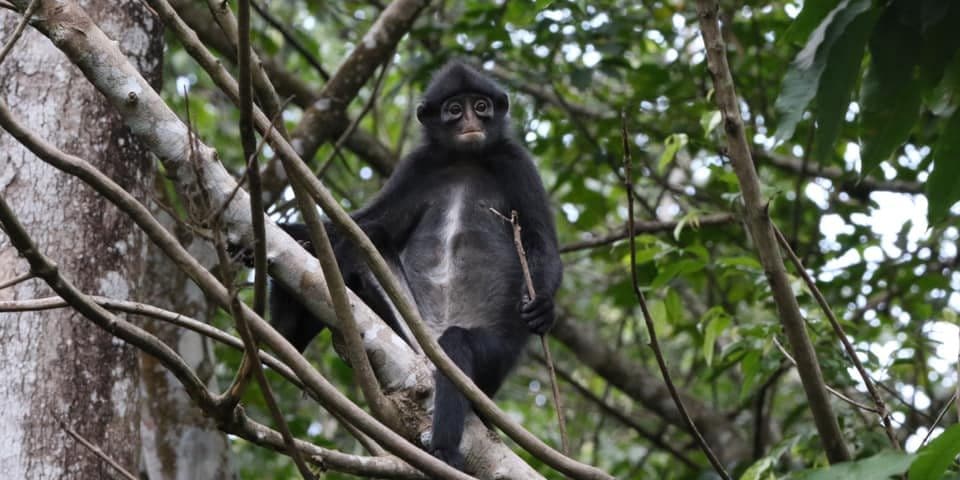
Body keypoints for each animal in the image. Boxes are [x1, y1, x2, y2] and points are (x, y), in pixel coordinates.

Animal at [268, 61, 564, 468]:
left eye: (481, 106)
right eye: (454, 109)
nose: (471, 121)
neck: (465, 158)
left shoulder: (515, 162)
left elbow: (542, 244)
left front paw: (544, 308)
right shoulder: (418, 166)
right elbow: (361, 223)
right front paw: (287, 232)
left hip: (491, 361)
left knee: (456, 346)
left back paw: (444, 451)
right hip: (402, 325)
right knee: (370, 237)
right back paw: (286, 324)